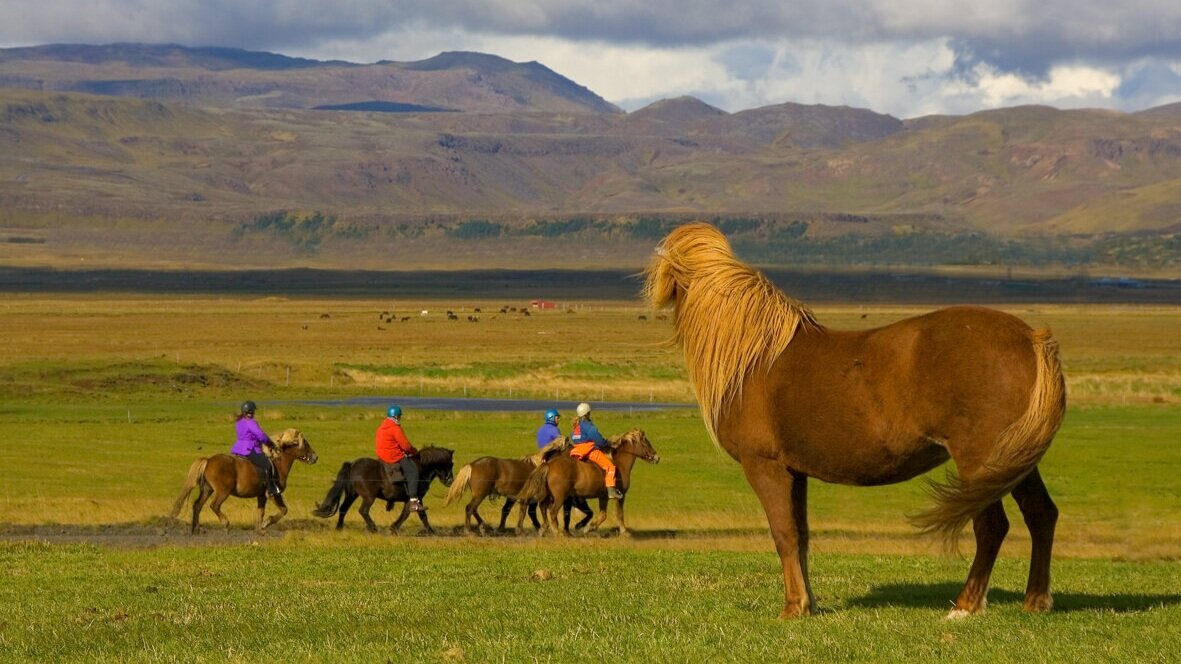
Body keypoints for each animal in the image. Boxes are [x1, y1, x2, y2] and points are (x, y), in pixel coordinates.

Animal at [168, 430, 318, 531]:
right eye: (305, 444)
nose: (315, 457)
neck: (277, 463)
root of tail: (208, 460)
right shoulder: (274, 494)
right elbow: (283, 510)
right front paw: (267, 523)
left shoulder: (261, 496)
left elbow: (260, 512)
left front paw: (260, 529)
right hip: (222, 492)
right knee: (214, 505)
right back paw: (225, 524)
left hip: (207, 489)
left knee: (197, 505)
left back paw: (196, 530)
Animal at [309, 444, 455, 531]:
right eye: (451, 464)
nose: (450, 481)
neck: (421, 468)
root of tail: (353, 465)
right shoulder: (416, 497)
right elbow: (416, 514)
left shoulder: (411, 499)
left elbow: (411, 513)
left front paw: (395, 527)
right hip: (368, 497)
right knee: (363, 511)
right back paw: (373, 527)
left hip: (352, 494)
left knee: (343, 508)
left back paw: (339, 528)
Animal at [444, 434, 590, 531]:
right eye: (571, 448)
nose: (581, 459)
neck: (541, 466)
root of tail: (472, 465)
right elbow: (530, 512)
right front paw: (536, 527)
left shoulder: (515, 497)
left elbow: (507, 510)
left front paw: (503, 528)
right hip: (480, 494)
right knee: (470, 508)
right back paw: (470, 530)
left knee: (473, 509)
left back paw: (484, 526)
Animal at [517, 425, 666, 534]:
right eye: (646, 442)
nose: (657, 457)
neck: (619, 463)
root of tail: (549, 464)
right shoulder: (620, 496)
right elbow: (619, 514)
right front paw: (624, 531)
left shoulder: (603, 497)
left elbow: (602, 515)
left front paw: (587, 527)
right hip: (560, 496)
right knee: (552, 511)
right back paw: (557, 532)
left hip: (550, 495)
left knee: (543, 507)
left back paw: (544, 528)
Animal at [647, 224, 1072, 619]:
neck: (754, 358)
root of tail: (1030, 337)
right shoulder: (795, 471)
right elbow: (801, 535)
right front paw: (809, 604)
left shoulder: (765, 466)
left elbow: (783, 535)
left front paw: (793, 607)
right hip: (1013, 460)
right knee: (1041, 514)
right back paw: (1036, 601)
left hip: (979, 460)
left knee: (991, 527)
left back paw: (965, 606)